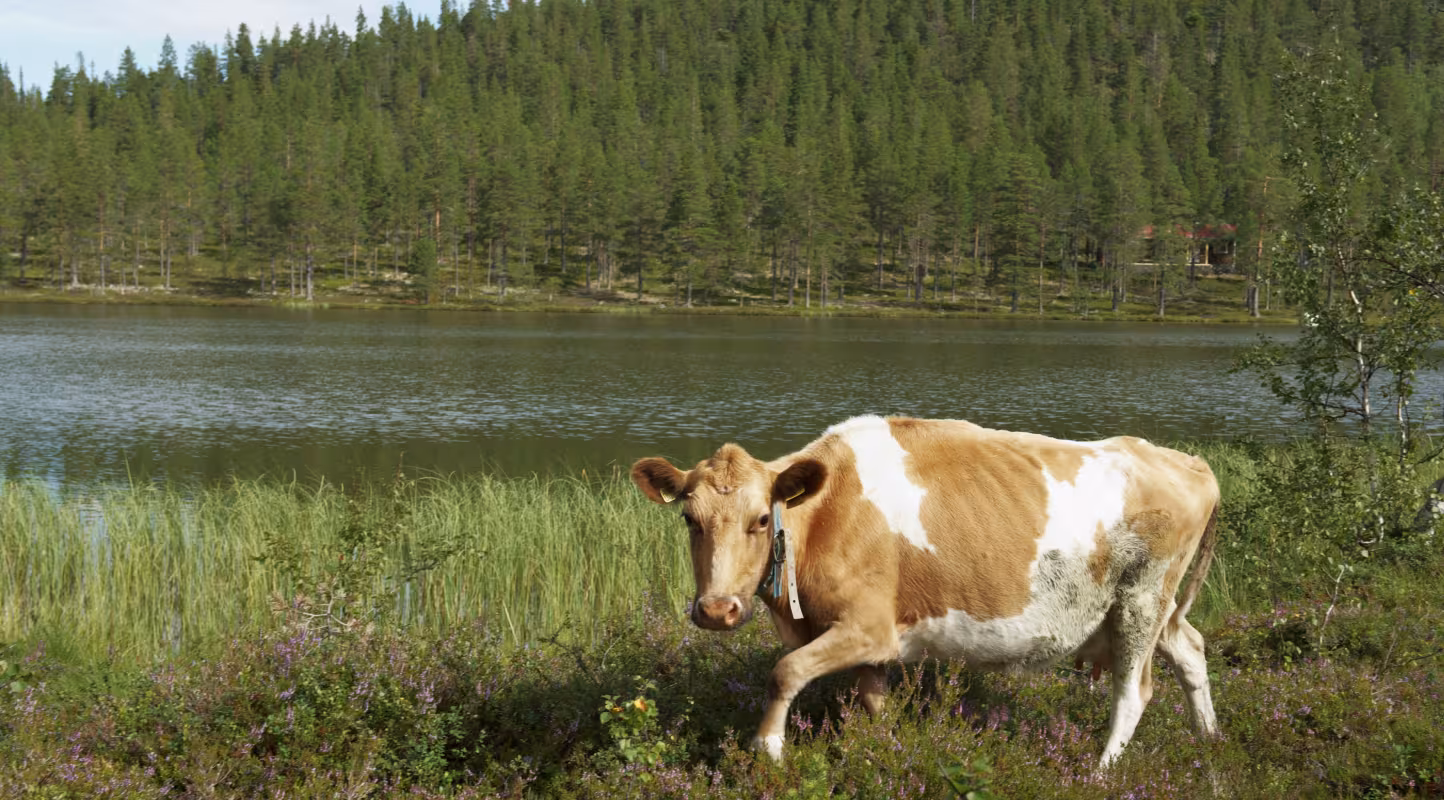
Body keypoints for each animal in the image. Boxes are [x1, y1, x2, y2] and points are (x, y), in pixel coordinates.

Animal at [630, 415, 1220, 769]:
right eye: (689, 519)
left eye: (759, 520)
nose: (717, 609)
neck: (825, 516)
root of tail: (1188, 461)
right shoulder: (870, 644)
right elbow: (872, 700)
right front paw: (885, 750)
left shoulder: (868, 626)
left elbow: (785, 671)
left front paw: (768, 748)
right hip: (1147, 608)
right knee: (1191, 646)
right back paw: (1209, 739)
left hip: (1141, 599)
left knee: (1134, 690)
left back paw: (1099, 771)